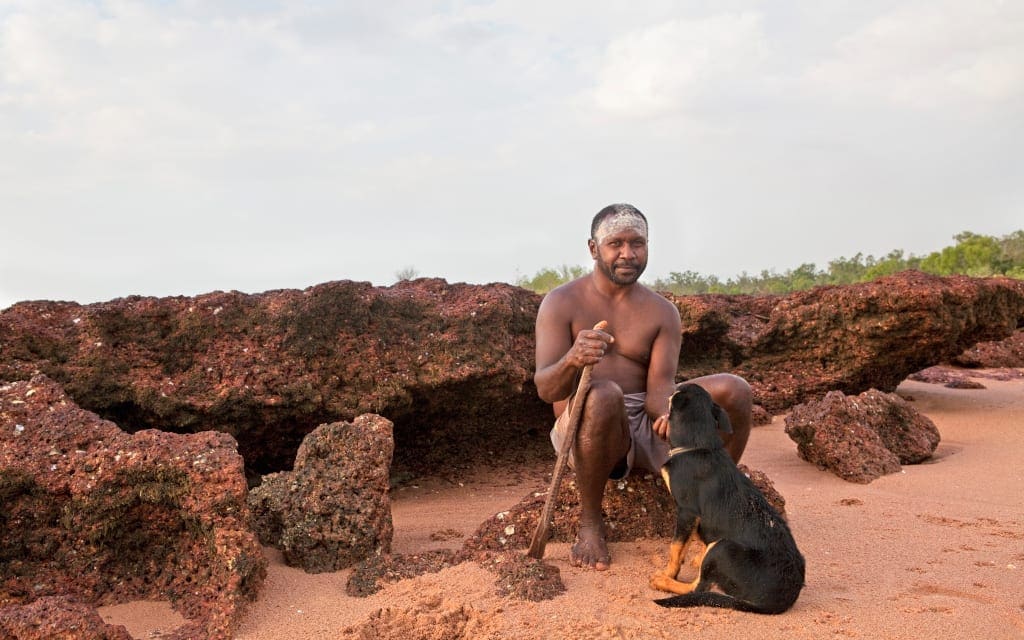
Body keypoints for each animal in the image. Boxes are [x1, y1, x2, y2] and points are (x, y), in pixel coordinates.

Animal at [651, 380, 802, 610]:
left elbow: (675, 548)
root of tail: (782, 600)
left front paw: (669, 573)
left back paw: (663, 581)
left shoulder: (686, 511)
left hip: (723, 547)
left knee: (698, 588)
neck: (698, 445)